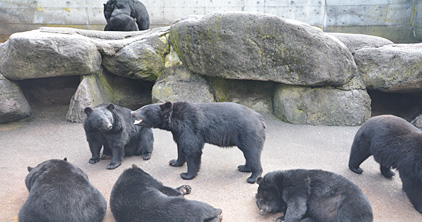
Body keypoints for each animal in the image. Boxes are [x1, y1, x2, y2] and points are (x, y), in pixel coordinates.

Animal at [131, 101, 268, 183]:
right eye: (141, 107)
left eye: (144, 110)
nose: (132, 113)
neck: (174, 120)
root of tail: (259, 117)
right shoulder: (179, 132)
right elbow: (180, 146)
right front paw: (174, 162)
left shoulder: (189, 126)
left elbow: (192, 149)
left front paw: (186, 175)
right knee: (249, 154)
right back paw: (244, 167)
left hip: (248, 132)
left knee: (252, 152)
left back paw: (253, 176)